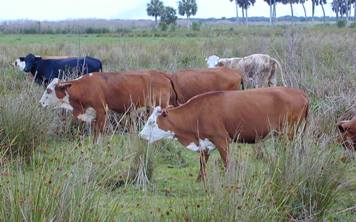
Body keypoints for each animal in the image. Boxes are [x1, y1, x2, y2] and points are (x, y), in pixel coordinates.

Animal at [39, 70, 177, 140]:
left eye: (49, 90)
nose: (40, 103)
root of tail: (163, 75)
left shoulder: (102, 111)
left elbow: (99, 133)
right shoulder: (93, 115)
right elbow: (94, 133)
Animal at [139, 86, 308, 180]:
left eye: (151, 122)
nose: (140, 135)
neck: (199, 112)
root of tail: (301, 93)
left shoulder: (222, 140)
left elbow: (226, 162)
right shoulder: (205, 142)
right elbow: (202, 162)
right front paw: (200, 180)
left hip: (288, 134)